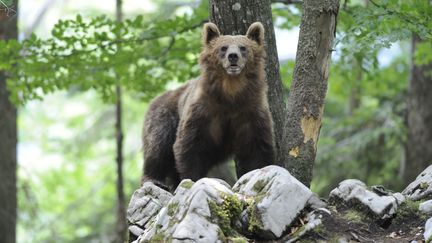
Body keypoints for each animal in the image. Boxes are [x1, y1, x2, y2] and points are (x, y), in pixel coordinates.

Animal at [143, 21, 276, 189]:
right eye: (223, 47)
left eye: (243, 47)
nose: (233, 56)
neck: (231, 94)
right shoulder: (203, 111)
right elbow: (189, 145)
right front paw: (192, 179)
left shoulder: (250, 110)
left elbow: (256, 147)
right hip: (164, 116)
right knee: (158, 146)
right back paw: (155, 180)